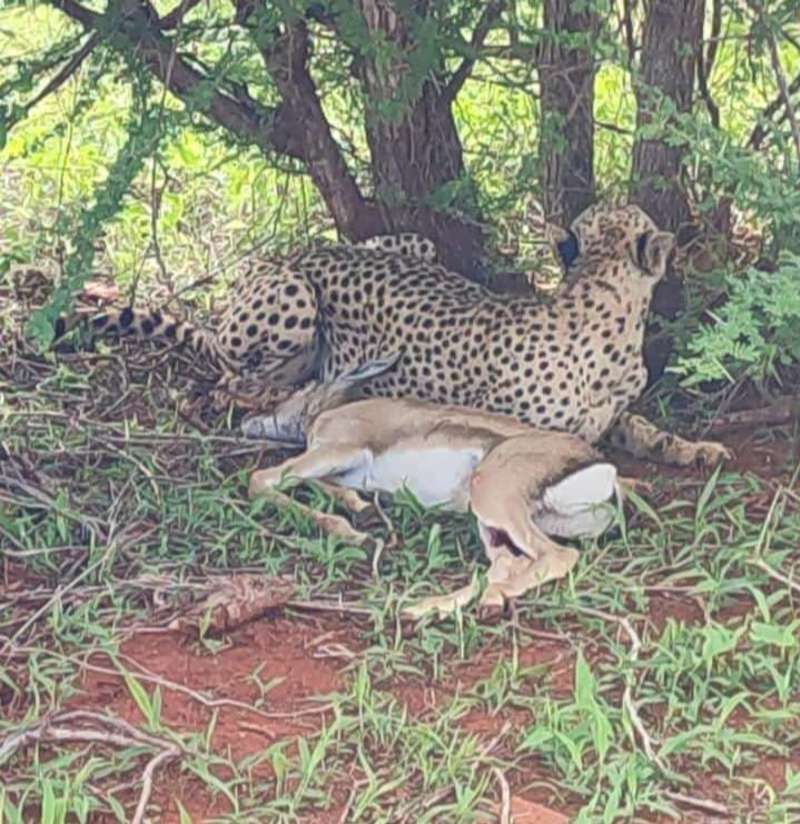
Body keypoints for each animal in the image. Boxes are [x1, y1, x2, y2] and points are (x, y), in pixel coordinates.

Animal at [55, 205, 731, 467]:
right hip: (292, 300)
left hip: (415, 244)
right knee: (234, 383)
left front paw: (694, 449)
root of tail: (292, 250)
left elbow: (641, 427)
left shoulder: (612, 411)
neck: (598, 304)